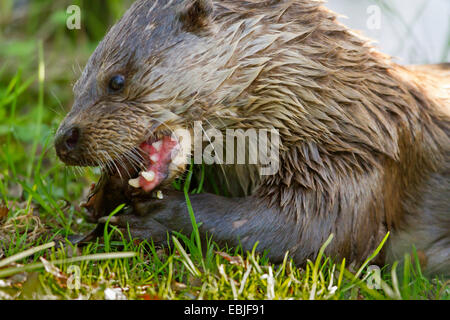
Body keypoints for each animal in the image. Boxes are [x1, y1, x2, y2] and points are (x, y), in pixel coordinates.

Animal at [53, 0, 450, 276]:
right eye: (77, 86)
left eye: (116, 81)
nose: (63, 139)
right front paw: (106, 195)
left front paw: (157, 218)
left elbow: (312, 231)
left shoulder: (353, 161)